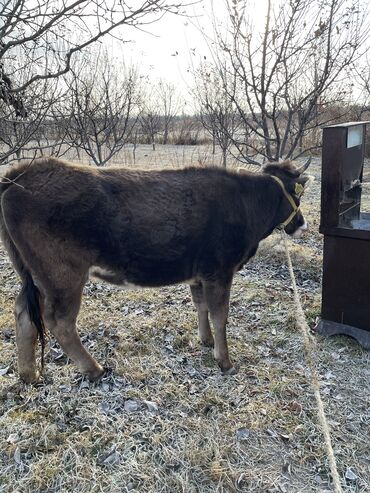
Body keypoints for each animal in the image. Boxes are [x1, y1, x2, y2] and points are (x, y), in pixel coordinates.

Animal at [0, 157, 310, 380]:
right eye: (299, 194)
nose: (301, 223)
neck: (247, 204)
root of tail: (21, 173)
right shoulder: (220, 271)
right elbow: (220, 314)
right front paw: (225, 361)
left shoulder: (198, 273)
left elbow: (201, 306)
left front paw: (205, 340)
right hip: (62, 276)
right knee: (59, 322)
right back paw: (93, 369)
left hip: (35, 276)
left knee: (24, 312)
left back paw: (28, 374)